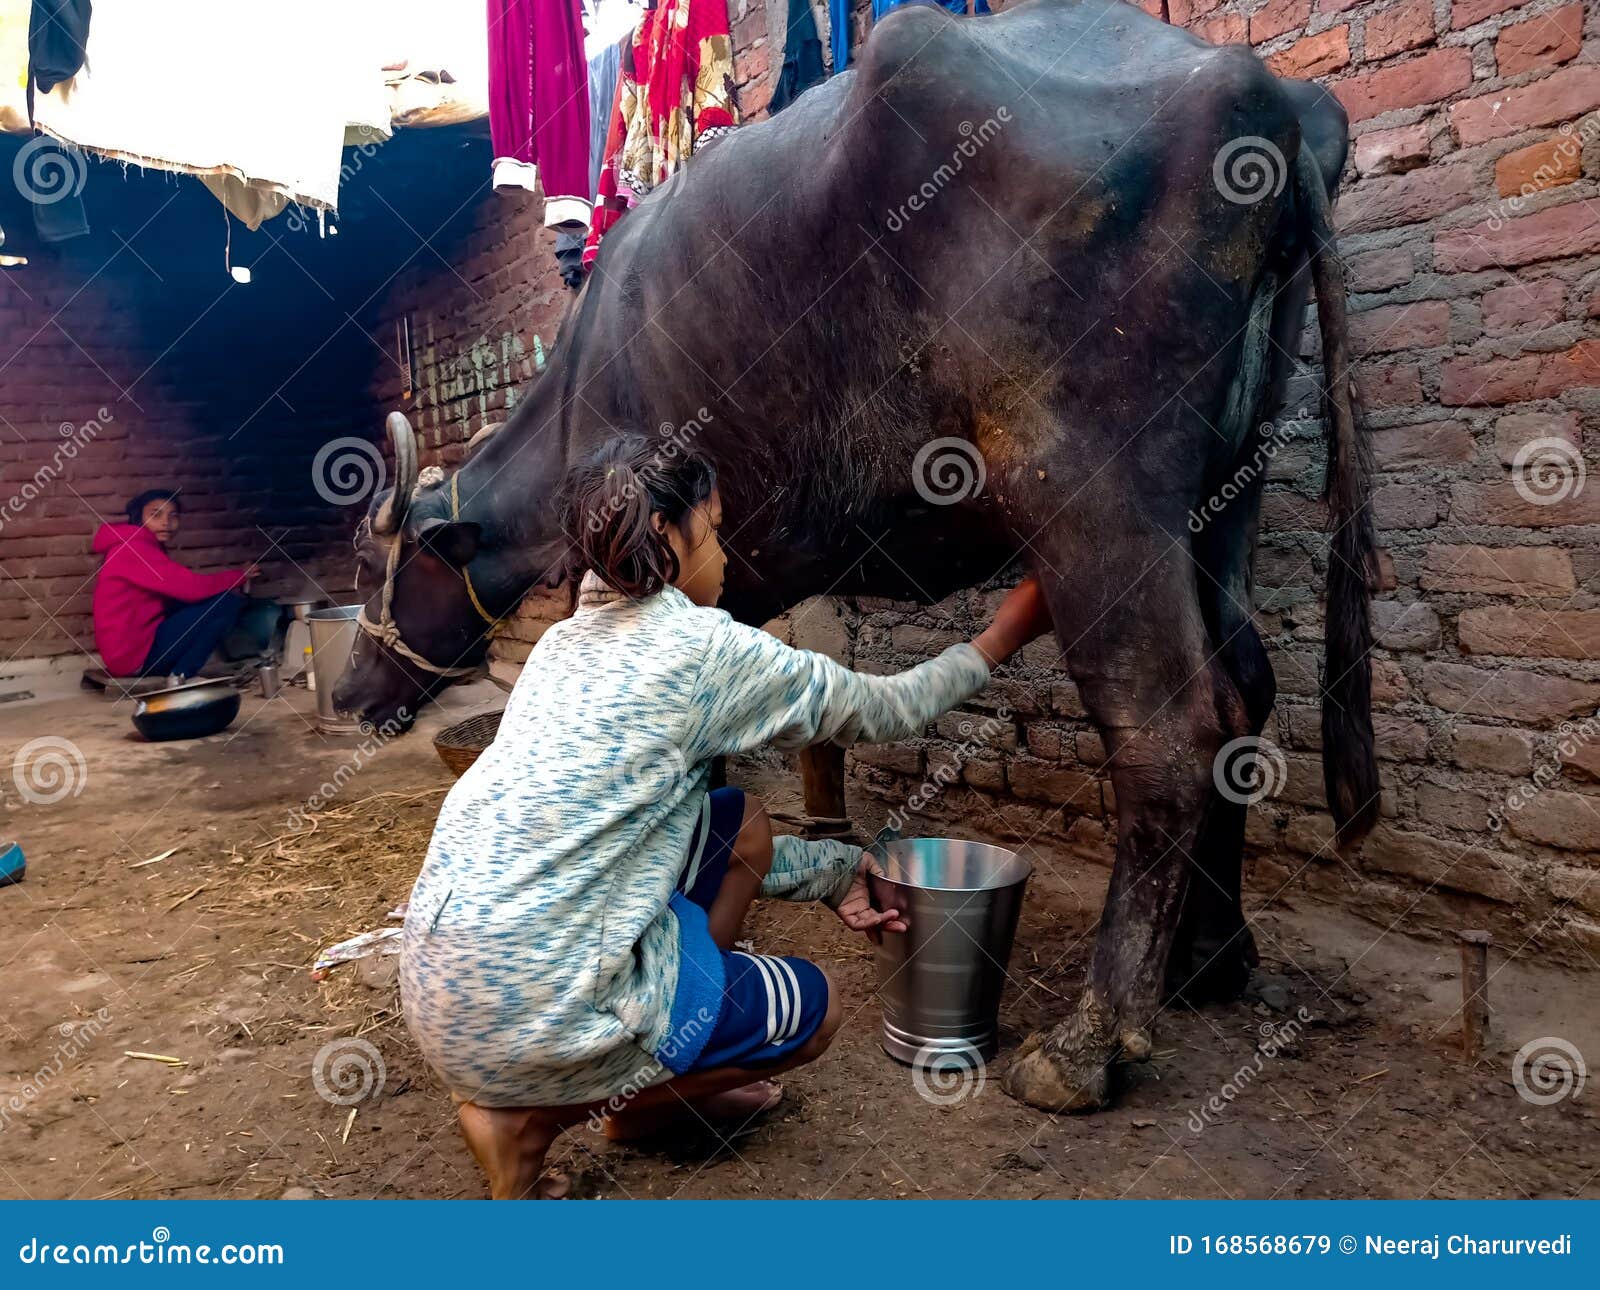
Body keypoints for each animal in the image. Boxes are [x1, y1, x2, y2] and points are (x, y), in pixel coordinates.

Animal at [334, 0, 1376, 1113]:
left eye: (376, 566)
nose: (349, 695)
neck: (587, 378)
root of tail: (1254, 91)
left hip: (1098, 495)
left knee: (1170, 725)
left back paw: (1089, 1040)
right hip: (1229, 488)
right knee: (1244, 687)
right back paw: (1211, 957)